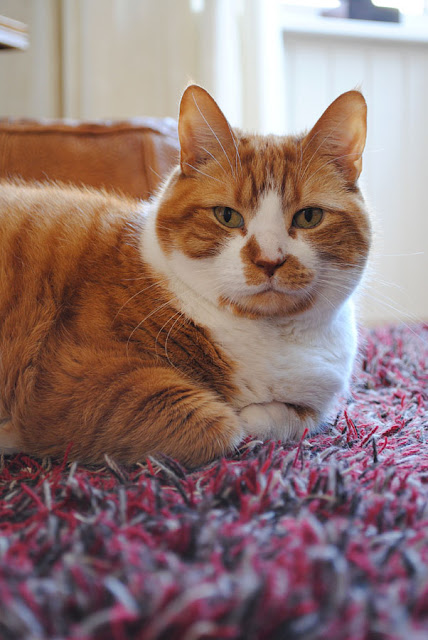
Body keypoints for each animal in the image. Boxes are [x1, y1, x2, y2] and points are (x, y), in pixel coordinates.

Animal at [0, 84, 370, 464]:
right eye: (227, 216)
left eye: (309, 217)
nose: (269, 260)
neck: (272, 337)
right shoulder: (76, 382)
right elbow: (227, 424)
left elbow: (295, 419)